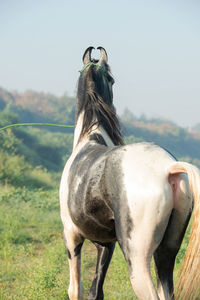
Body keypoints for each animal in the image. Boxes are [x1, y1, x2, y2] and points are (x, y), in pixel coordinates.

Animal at [59, 47, 200, 300]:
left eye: (112, 79)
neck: (90, 138)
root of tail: (167, 168)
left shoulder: (72, 236)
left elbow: (76, 289)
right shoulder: (106, 244)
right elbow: (96, 291)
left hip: (137, 260)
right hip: (165, 254)